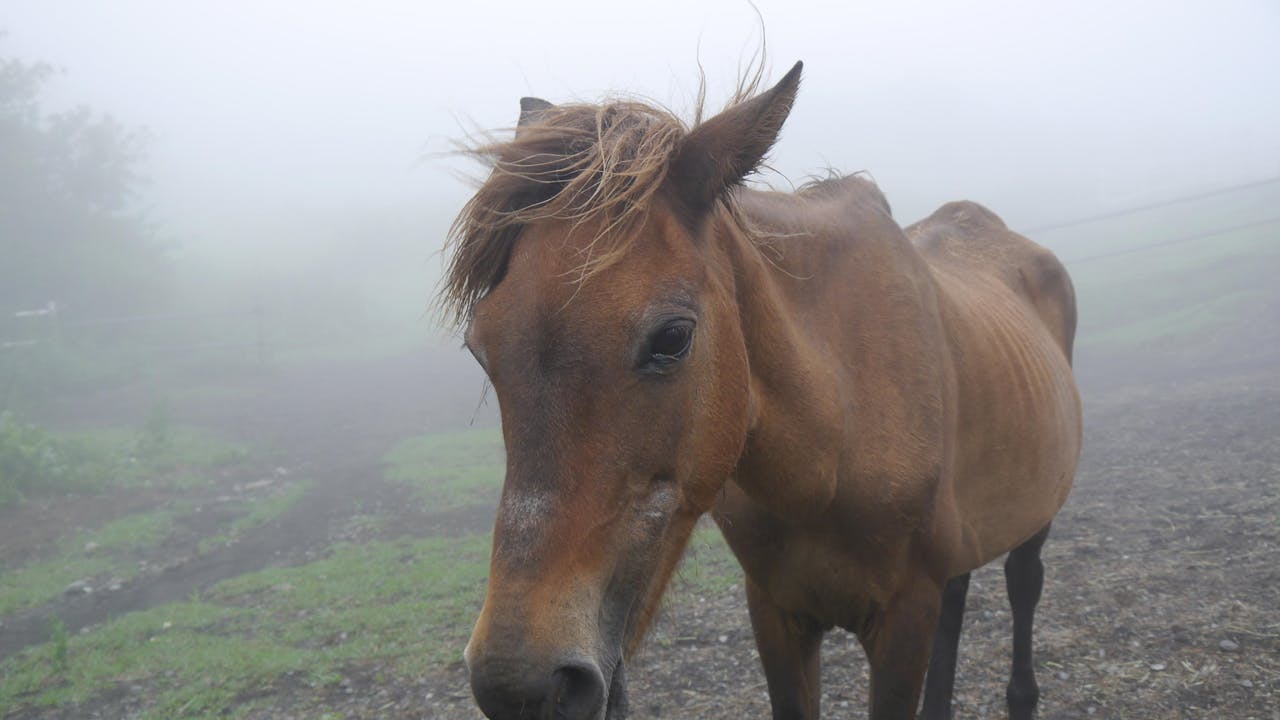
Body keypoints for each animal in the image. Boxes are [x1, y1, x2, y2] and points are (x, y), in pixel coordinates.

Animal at [440, 61, 1080, 717]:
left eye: (673, 337)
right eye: (480, 348)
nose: (519, 683)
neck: (835, 443)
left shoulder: (904, 621)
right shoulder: (776, 615)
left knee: (1024, 582)